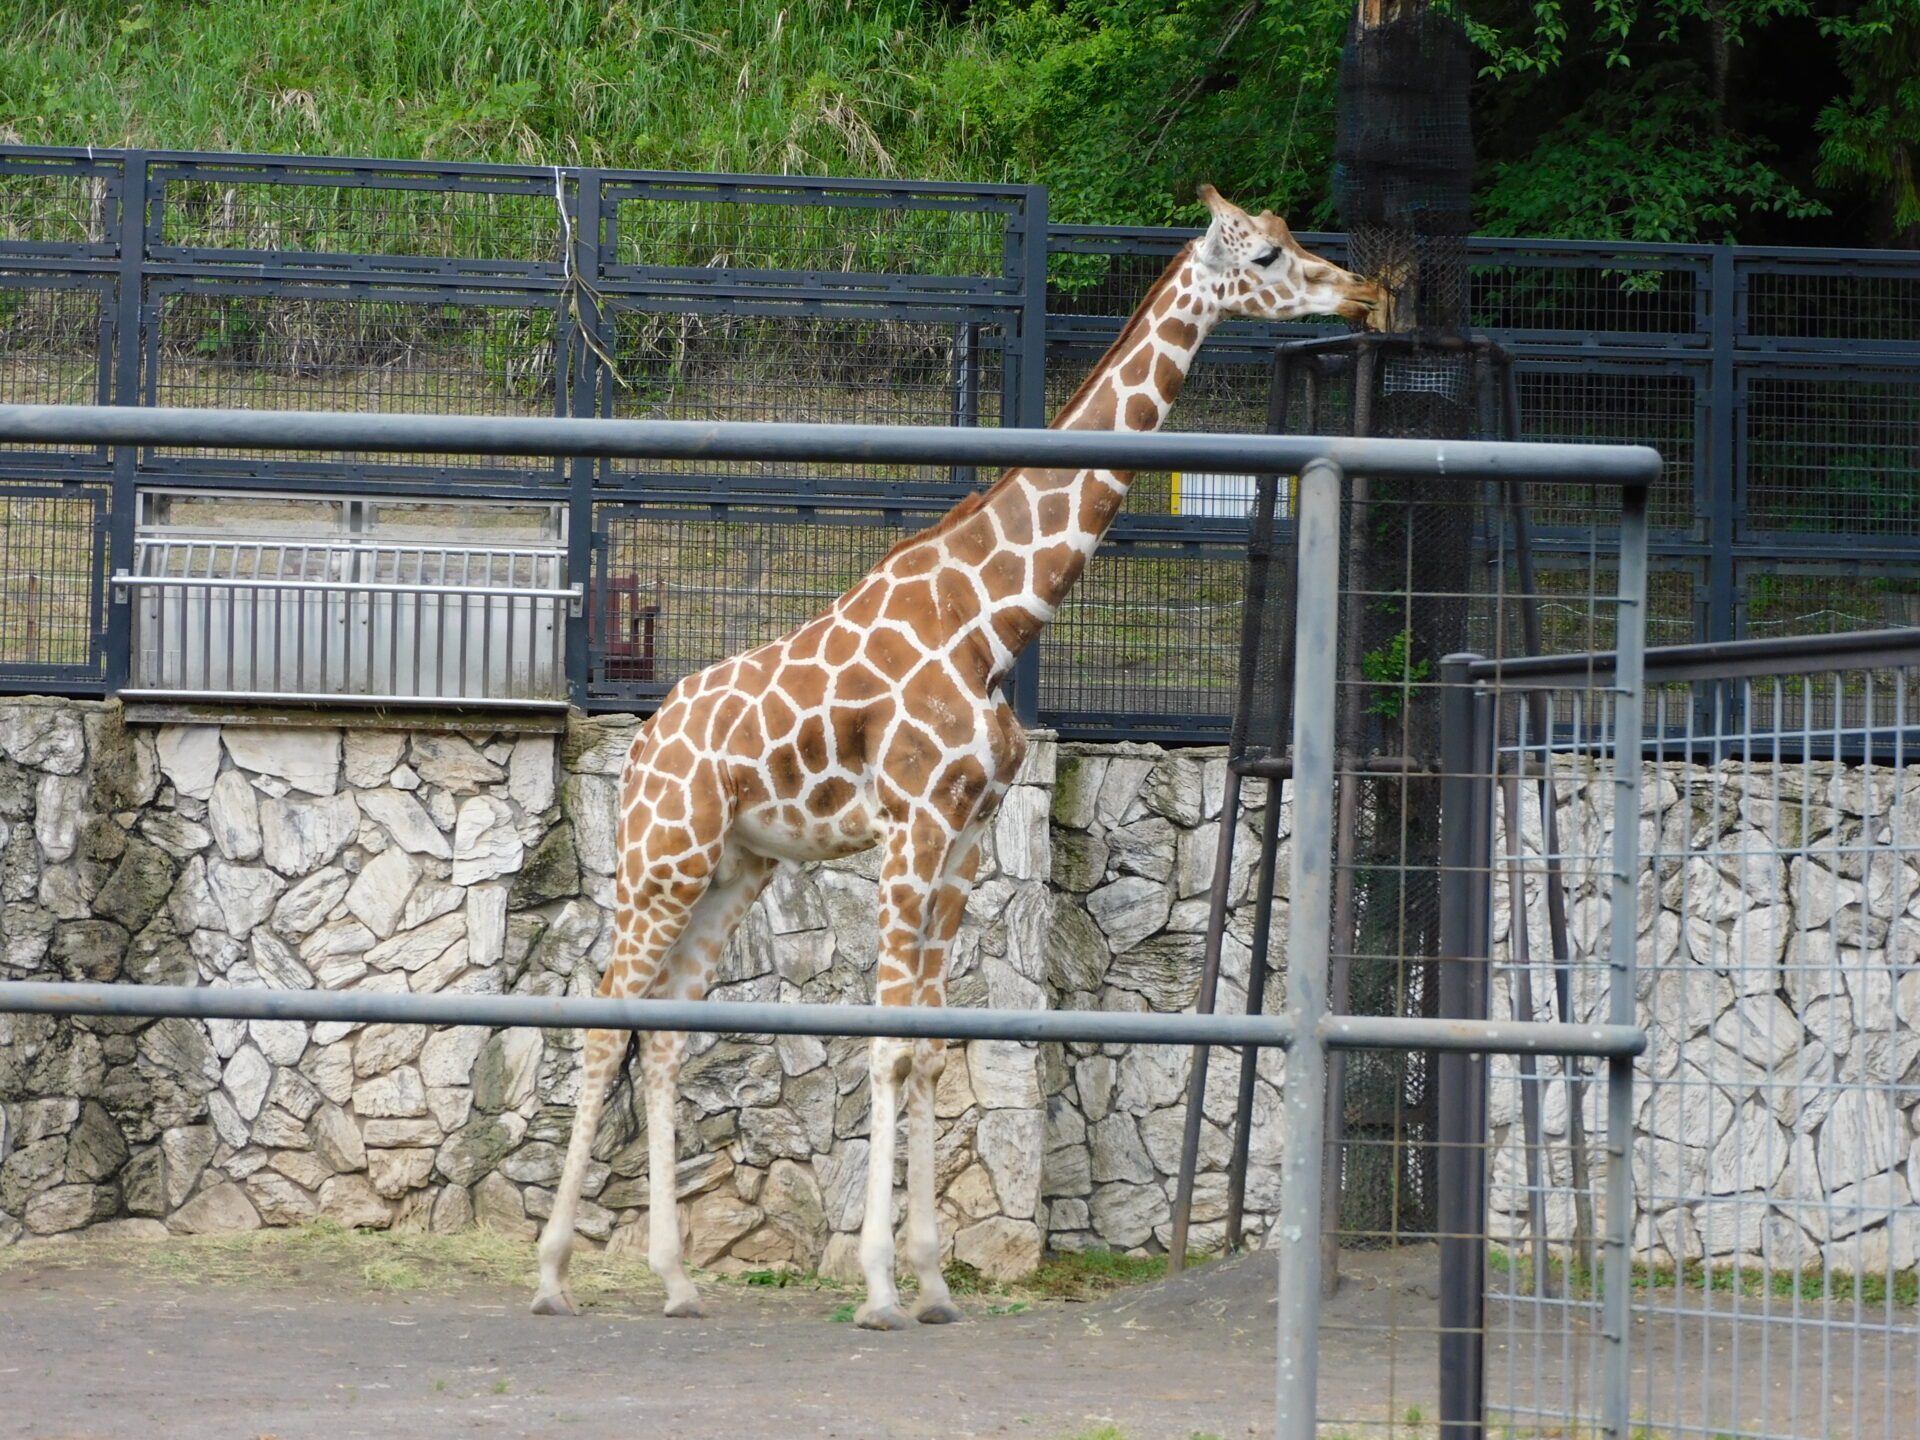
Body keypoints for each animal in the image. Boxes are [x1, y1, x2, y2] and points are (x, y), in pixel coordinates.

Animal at [533, 186, 1390, 1336]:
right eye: (1264, 254)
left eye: (1296, 237)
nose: (1367, 292)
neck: (994, 621)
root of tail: (645, 745)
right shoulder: (914, 827)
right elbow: (891, 1045)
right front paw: (880, 1288)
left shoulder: (968, 840)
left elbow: (937, 1049)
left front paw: (935, 1283)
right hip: (660, 857)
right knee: (599, 1026)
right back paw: (550, 1276)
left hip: (734, 868)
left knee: (663, 1033)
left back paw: (675, 1281)